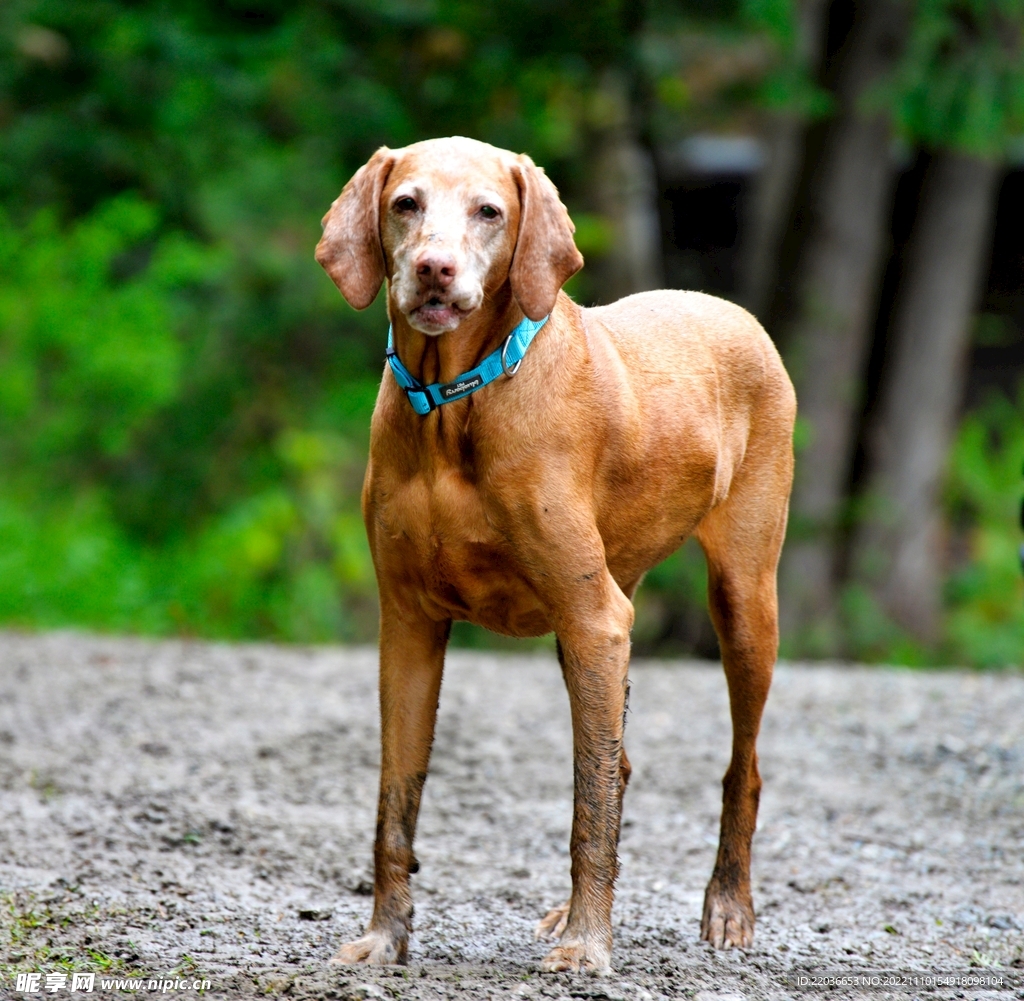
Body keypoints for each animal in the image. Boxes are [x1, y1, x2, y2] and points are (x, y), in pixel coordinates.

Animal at [315, 136, 794, 970]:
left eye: (488, 211)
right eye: (406, 203)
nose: (434, 269)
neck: (455, 406)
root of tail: (731, 308)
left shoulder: (594, 616)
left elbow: (586, 806)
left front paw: (588, 945)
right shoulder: (408, 626)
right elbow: (395, 803)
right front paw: (385, 934)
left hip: (739, 601)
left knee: (742, 767)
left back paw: (728, 906)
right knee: (620, 764)